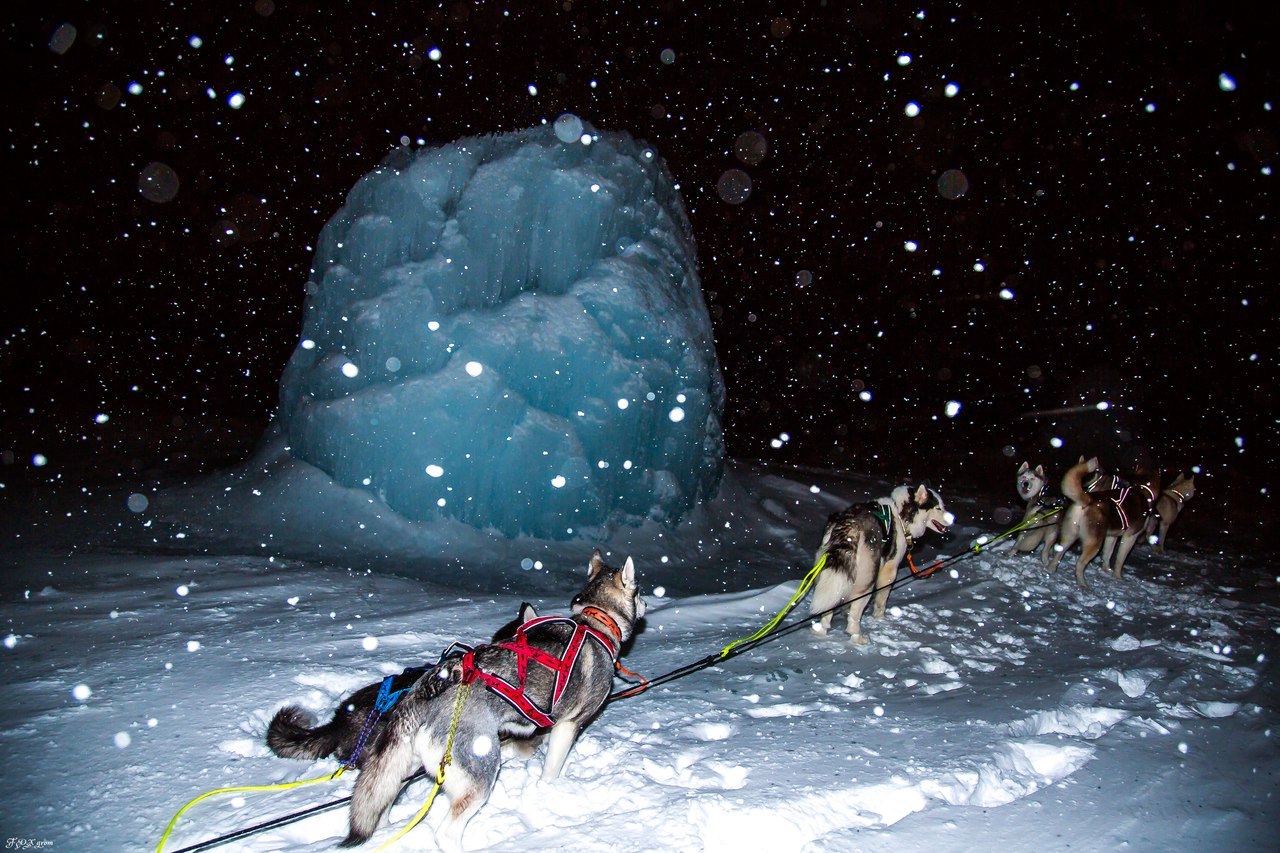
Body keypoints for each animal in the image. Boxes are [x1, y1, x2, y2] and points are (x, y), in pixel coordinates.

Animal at [340, 548, 645, 845]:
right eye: (639, 590)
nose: (645, 604)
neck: (596, 620)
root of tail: (423, 692)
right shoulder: (568, 725)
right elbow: (550, 771)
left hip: (400, 770)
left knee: (381, 809)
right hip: (481, 768)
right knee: (446, 832)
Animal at [808, 481, 952, 640]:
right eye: (938, 508)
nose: (953, 519)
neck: (900, 514)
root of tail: (850, 524)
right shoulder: (889, 570)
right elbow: (881, 599)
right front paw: (880, 617)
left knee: (829, 609)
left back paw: (821, 630)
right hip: (867, 580)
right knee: (855, 615)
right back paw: (857, 636)